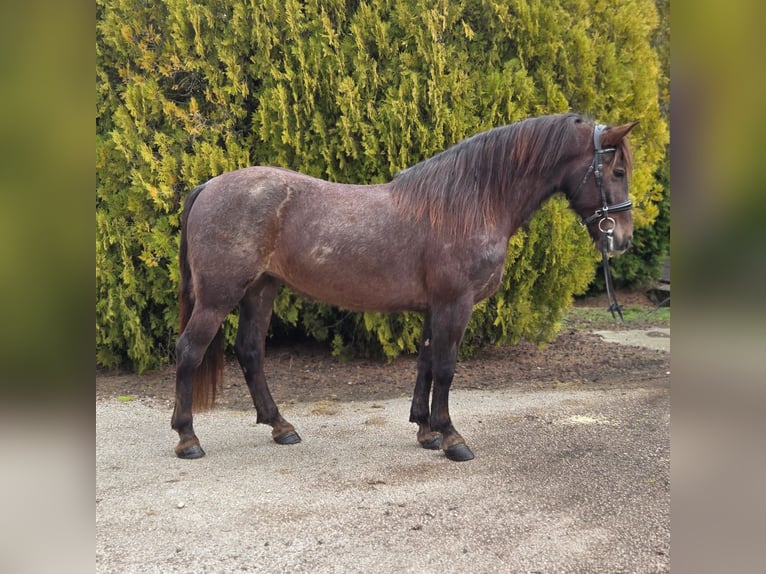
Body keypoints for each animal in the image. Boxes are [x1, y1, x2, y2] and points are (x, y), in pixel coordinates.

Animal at [171, 112, 637, 462]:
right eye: (616, 170)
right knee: (189, 350)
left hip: (261, 290)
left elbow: (426, 364)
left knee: (250, 352)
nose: (623, 239)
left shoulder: (435, 307)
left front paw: (426, 430)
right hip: (219, 297)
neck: (470, 202)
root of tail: (208, 186)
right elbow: (446, 368)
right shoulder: (455, 304)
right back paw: (188, 438)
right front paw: (452, 438)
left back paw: (280, 426)